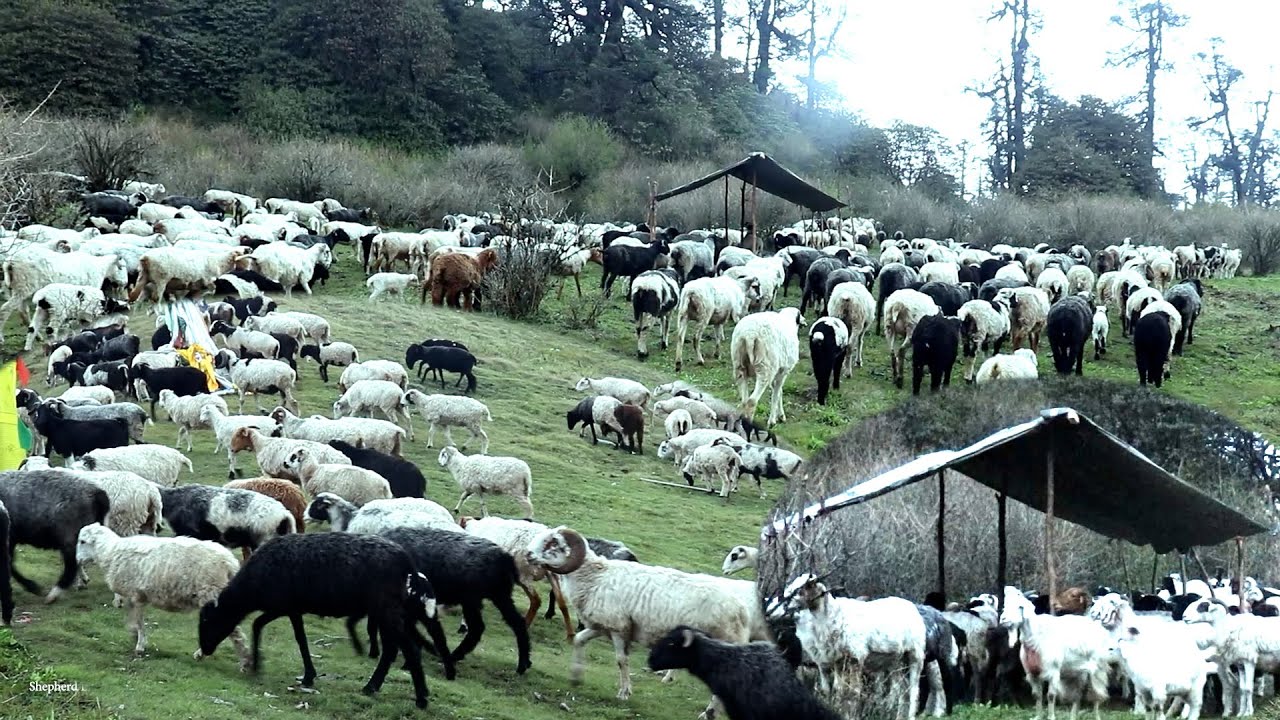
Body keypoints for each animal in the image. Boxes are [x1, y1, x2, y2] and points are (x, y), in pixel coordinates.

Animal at [0, 470, 109, 603]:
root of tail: (97, 493)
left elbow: (9, 564)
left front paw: (32, 587)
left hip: (70, 535)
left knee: (71, 565)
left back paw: (54, 594)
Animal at [76, 524, 248, 662]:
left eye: (83, 541)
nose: (77, 560)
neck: (110, 552)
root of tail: (231, 563)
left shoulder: (136, 595)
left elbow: (139, 622)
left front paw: (139, 645)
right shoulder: (135, 597)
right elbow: (133, 620)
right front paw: (135, 635)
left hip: (212, 594)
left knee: (231, 631)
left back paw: (242, 662)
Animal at [196, 533, 448, 710]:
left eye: (207, 622)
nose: (205, 650)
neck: (248, 589)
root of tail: (408, 564)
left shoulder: (281, 605)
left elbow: (259, 625)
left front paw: (257, 665)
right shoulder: (292, 609)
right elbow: (300, 638)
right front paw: (308, 676)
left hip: (386, 608)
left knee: (409, 649)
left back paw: (420, 699)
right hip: (387, 610)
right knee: (391, 650)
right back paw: (373, 687)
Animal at [525, 526, 753, 706]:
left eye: (553, 543)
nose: (527, 554)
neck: (596, 577)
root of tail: (741, 610)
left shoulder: (619, 627)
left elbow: (621, 660)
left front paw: (624, 693)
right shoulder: (601, 626)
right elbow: (579, 640)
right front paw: (576, 677)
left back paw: (709, 712)